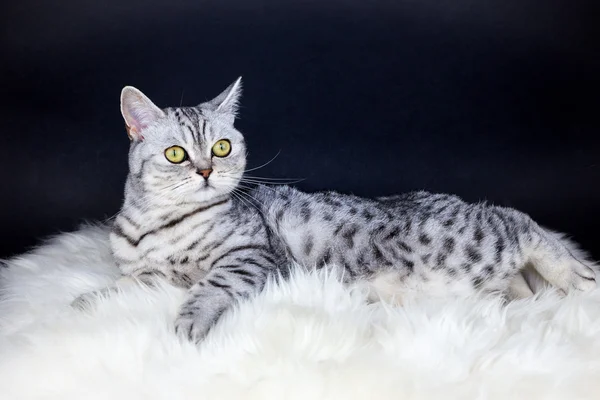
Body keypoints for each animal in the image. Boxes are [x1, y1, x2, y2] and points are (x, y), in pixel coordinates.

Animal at [74, 77, 596, 340]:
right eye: (177, 154)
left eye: (222, 147)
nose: (205, 171)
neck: (154, 223)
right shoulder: (152, 274)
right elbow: (127, 283)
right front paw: (86, 300)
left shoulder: (248, 255)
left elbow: (209, 287)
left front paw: (189, 321)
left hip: (468, 243)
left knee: (521, 222)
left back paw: (577, 276)